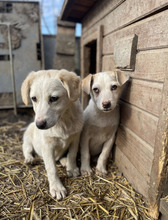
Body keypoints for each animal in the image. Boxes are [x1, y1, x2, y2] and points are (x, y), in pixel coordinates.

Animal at [21, 69, 83, 200]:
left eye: (54, 98)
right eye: (34, 98)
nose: (39, 125)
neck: (62, 122)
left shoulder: (75, 138)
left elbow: (72, 155)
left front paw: (72, 168)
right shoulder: (47, 146)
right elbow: (51, 168)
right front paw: (57, 187)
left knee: (61, 157)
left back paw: (64, 161)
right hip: (28, 137)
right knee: (26, 149)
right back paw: (29, 159)